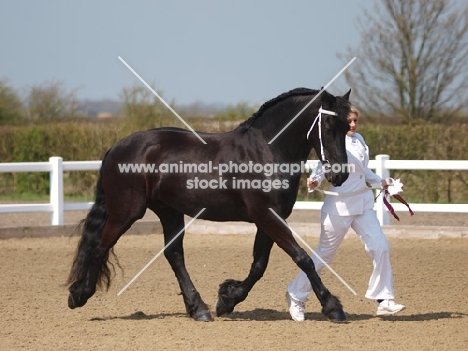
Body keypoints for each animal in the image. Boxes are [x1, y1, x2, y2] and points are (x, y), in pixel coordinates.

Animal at [66, 87, 352, 322]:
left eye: (347, 126)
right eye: (328, 128)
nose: (341, 175)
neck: (266, 151)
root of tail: (117, 147)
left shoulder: (269, 218)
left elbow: (259, 265)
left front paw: (227, 299)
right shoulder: (267, 216)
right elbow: (302, 258)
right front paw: (333, 307)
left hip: (169, 211)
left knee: (174, 255)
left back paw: (198, 309)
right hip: (126, 213)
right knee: (99, 247)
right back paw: (79, 295)